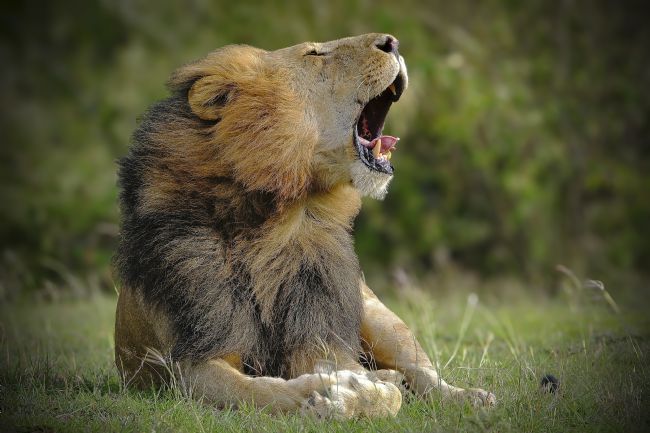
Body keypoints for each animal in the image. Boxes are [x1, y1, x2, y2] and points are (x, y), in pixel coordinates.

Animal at [114, 33, 495, 419]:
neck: (275, 220)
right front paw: (329, 393)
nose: (393, 42)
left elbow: (383, 393)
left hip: (377, 315)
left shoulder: (317, 331)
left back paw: (468, 396)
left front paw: (351, 392)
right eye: (315, 53)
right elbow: (260, 390)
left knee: (424, 372)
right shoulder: (192, 361)